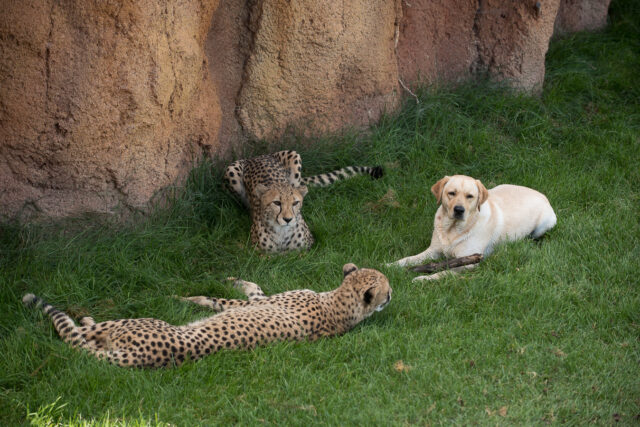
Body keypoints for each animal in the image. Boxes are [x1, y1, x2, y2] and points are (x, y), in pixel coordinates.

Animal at [22, 262, 392, 370]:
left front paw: (190, 295)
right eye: (387, 287)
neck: (337, 306)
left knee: (82, 335)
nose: (393, 294)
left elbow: (227, 296)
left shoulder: (251, 303)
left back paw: (83, 321)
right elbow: (243, 288)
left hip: (133, 325)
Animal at [225, 150, 384, 252]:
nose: (288, 219)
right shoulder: (256, 252)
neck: (281, 232)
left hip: (293, 156)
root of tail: (259, 155)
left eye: (295, 203)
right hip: (231, 170)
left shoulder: (310, 247)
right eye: (277, 203)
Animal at [388, 176, 556, 282]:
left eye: (470, 196)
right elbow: (409, 259)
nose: (459, 210)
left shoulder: (469, 262)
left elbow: (444, 272)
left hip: (545, 224)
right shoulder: (433, 251)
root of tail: (543, 195)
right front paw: (391, 265)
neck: (453, 230)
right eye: (451, 193)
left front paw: (424, 278)